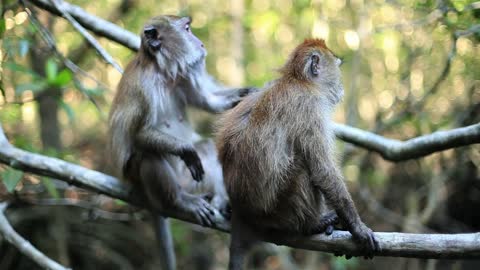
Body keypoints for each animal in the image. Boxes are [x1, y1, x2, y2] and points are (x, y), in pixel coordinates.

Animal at [107, 15, 253, 270]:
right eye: (187, 29)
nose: (201, 43)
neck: (162, 73)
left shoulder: (185, 76)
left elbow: (208, 102)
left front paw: (247, 93)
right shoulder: (144, 88)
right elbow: (140, 133)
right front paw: (185, 149)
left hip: (189, 181)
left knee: (205, 147)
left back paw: (219, 200)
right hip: (139, 178)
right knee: (149, 155)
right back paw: (179, 202)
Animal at [217, 38, 378, 270]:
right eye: (337, 68)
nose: (342, 88)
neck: (298, 81)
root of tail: (242, 210)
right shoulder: (310, 107)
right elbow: (322, 171)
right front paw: (358, 228)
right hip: (278, 211)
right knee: (302, 168)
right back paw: (312, 225)